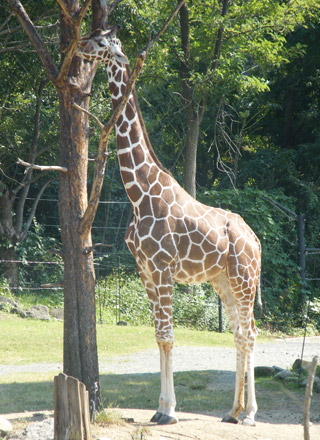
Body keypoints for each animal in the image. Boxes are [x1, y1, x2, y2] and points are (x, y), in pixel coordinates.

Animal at [77, 24, 262, 426]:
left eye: (101, 41)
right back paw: (232, 411)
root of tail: (256, 241)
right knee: (239, 333)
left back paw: (251, 414)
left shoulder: (162, 268)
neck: (138, 192)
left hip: (245, 280)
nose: (79, 46)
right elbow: (158, 335)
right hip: (223, 281)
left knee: (251, 332)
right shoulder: (145, 270)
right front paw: (160, 408)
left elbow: (168, 335)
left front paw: (170, 411)